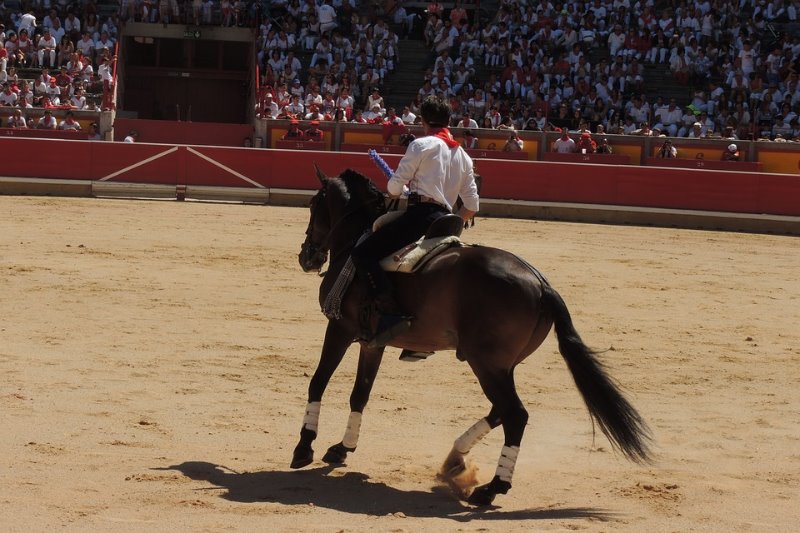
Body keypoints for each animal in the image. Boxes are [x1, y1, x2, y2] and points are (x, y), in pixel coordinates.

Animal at [292, 168, 648, 504]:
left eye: (313, 204)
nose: (306, 256)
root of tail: (541, 285)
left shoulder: (340, 328)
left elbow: (318, 382)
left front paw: (304, 447)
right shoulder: (373, 341)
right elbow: (360, 394)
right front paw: (342, 447)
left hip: (486, 363)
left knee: (515, 415)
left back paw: (491, 488)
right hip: (501, 365)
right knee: (500, 411)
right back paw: (456, 459)